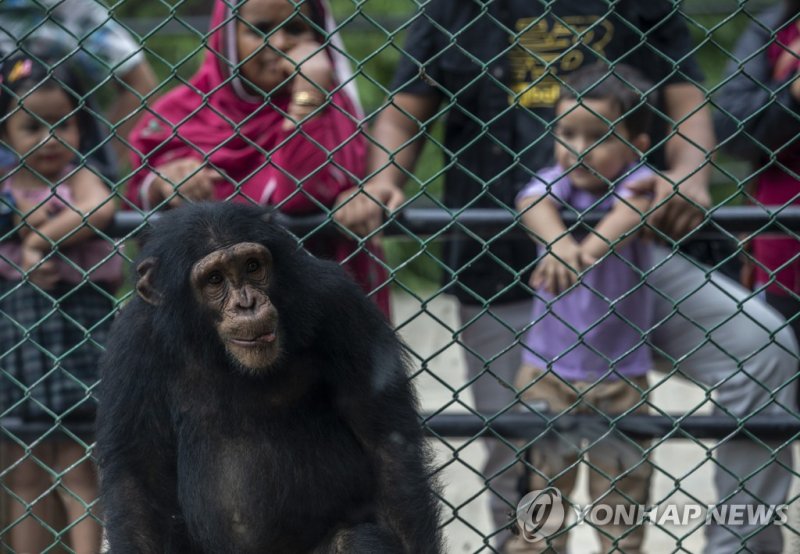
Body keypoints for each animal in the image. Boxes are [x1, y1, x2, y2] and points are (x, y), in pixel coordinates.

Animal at [97, 203, 444, 552]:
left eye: (252, 266)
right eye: (214, 279)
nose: (247, 303)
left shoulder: (341, 304)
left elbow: (387, 450)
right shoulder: (132, 343)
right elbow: (139, 481)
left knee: (357, 539)